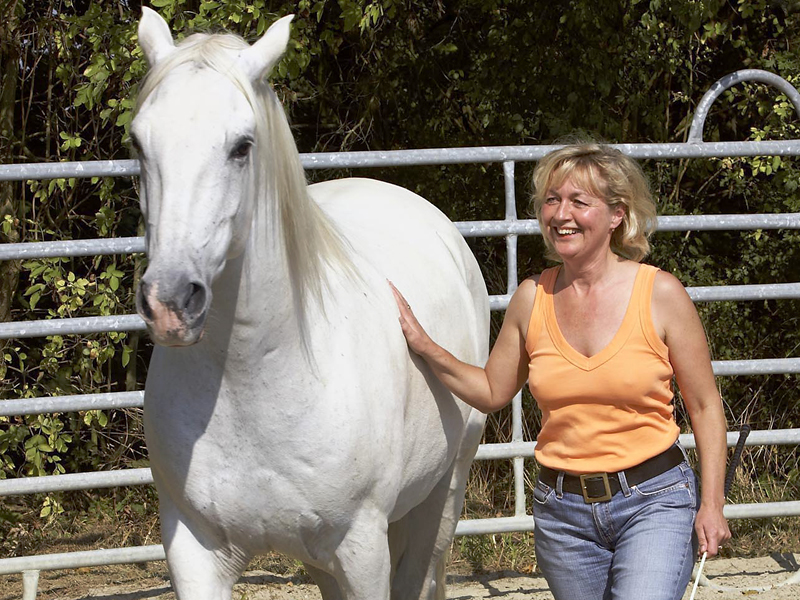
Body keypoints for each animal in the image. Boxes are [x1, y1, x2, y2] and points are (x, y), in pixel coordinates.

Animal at [133, 8, 488, 600]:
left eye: (242, 145)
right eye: (138, 143)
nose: (170, 302)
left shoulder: (362, 547)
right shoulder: (192, 548)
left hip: (441, 496)